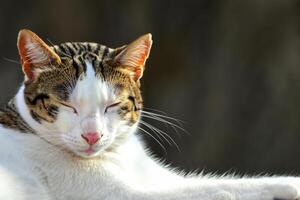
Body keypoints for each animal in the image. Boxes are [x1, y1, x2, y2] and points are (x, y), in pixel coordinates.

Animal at [0, 28, 300, 200]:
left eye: (112, 105)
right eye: (67, 105)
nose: (92, 136)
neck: (119, 157)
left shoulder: (162, 179)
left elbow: (230, 181)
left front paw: (289, 183)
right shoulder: (122, 195)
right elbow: (219, 190)